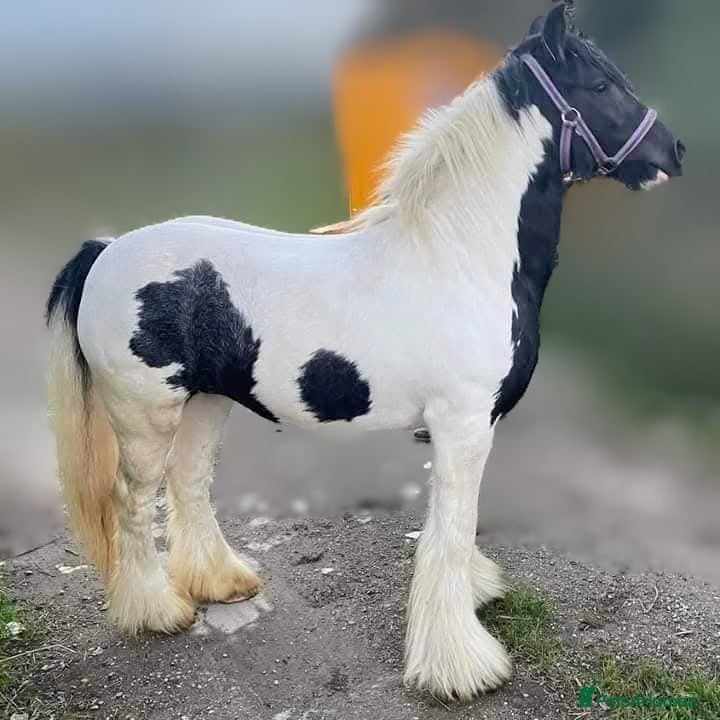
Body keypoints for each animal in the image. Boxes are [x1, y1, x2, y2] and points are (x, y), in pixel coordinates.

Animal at [46, 5, 684, 702]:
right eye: (598, 86)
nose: (672, 153)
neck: (460, 257)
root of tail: (107, 249)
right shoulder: (464, 423)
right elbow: (451, 530)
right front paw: (461, 668)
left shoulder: (457, 427)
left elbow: (450, 525)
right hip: (145, 416)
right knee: (132, 504)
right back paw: (157, 612)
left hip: (206, 403)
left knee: (188, 486)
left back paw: (222, 583)